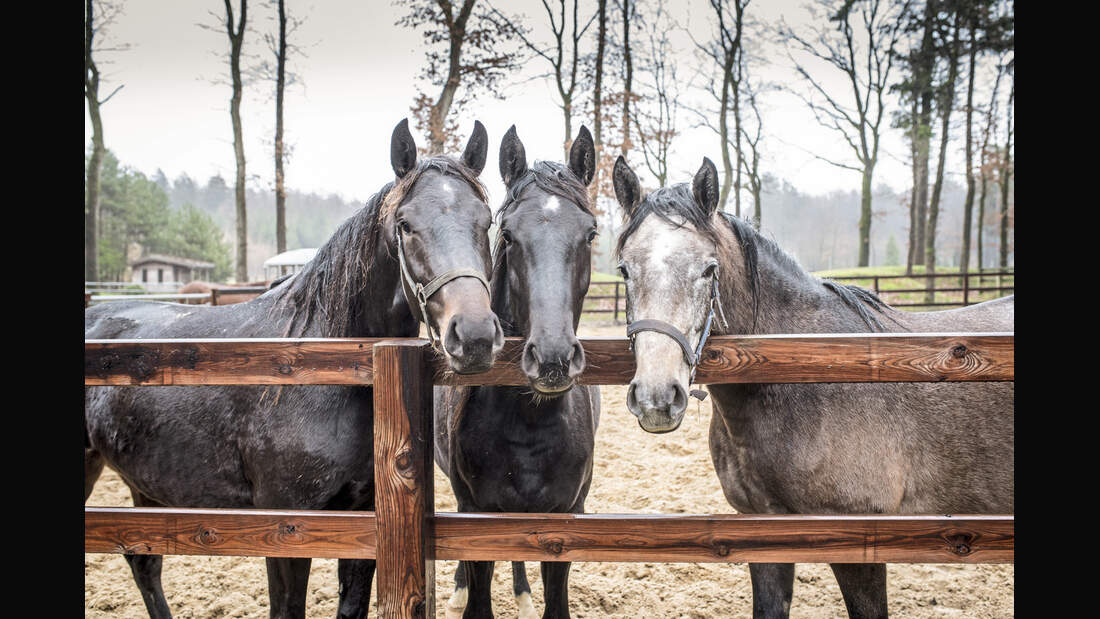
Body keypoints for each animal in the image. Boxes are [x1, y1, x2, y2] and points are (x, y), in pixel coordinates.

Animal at [85, 118, 506, 615]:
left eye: (487, 222)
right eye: (405, 224)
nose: (474, 335)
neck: (320, 367)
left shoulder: (363, 521)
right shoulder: (286, 527)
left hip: (147, 486)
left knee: (144, 562)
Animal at [431, 125, 602, 619]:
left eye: (590, 234)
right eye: (506, 233)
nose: (552, 358)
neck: (530, 423)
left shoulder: (567, 513)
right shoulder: (475, 512)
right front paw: (465, 591)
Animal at [611, 157, 1012, 615]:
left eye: (709, 269)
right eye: (624, 269)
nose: (657, 398)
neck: (804, 370)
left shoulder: (858, 539)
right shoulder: (762, 530)